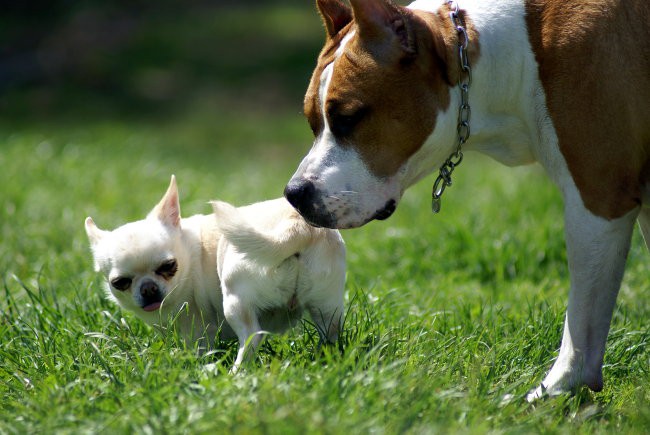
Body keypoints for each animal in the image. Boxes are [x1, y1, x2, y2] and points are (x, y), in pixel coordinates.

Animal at [284, 0, 648, 402]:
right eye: (312, 122)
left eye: (348, 118)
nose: (294, 193)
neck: (516, 52)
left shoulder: (598, 201)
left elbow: (582, 321)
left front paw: (557, 390)